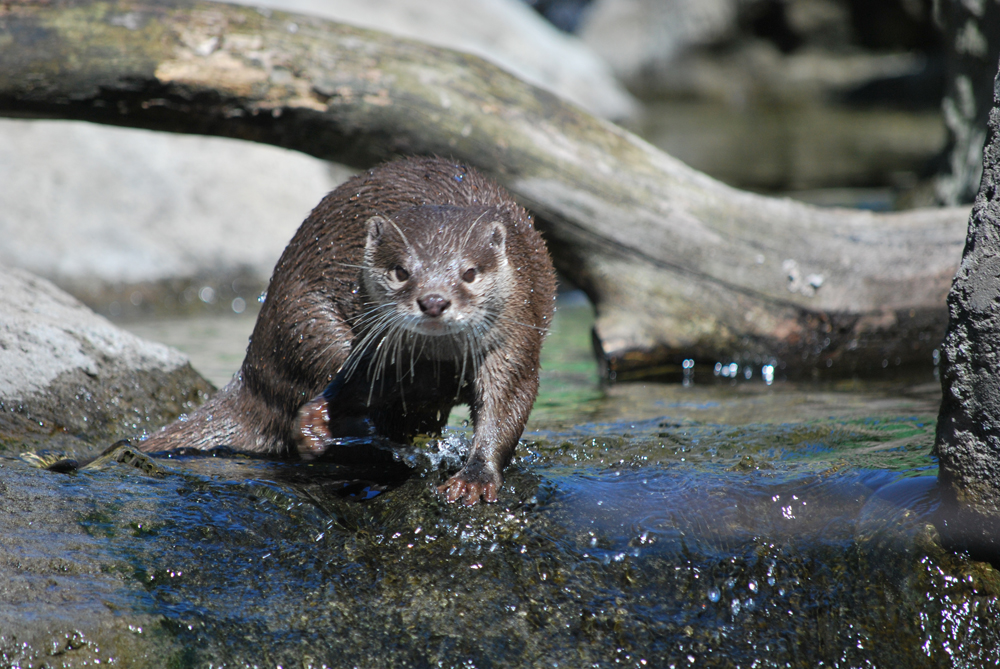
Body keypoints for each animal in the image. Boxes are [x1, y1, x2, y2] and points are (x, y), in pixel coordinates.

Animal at [142, 154, 560, 504]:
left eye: (469, 273)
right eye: (401, 271)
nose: (434, 300)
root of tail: (251, 370)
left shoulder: (515, 337)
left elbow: (507, 406)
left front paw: (474, 478)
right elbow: (349, 388)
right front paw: (318, 424)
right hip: (307, 326)